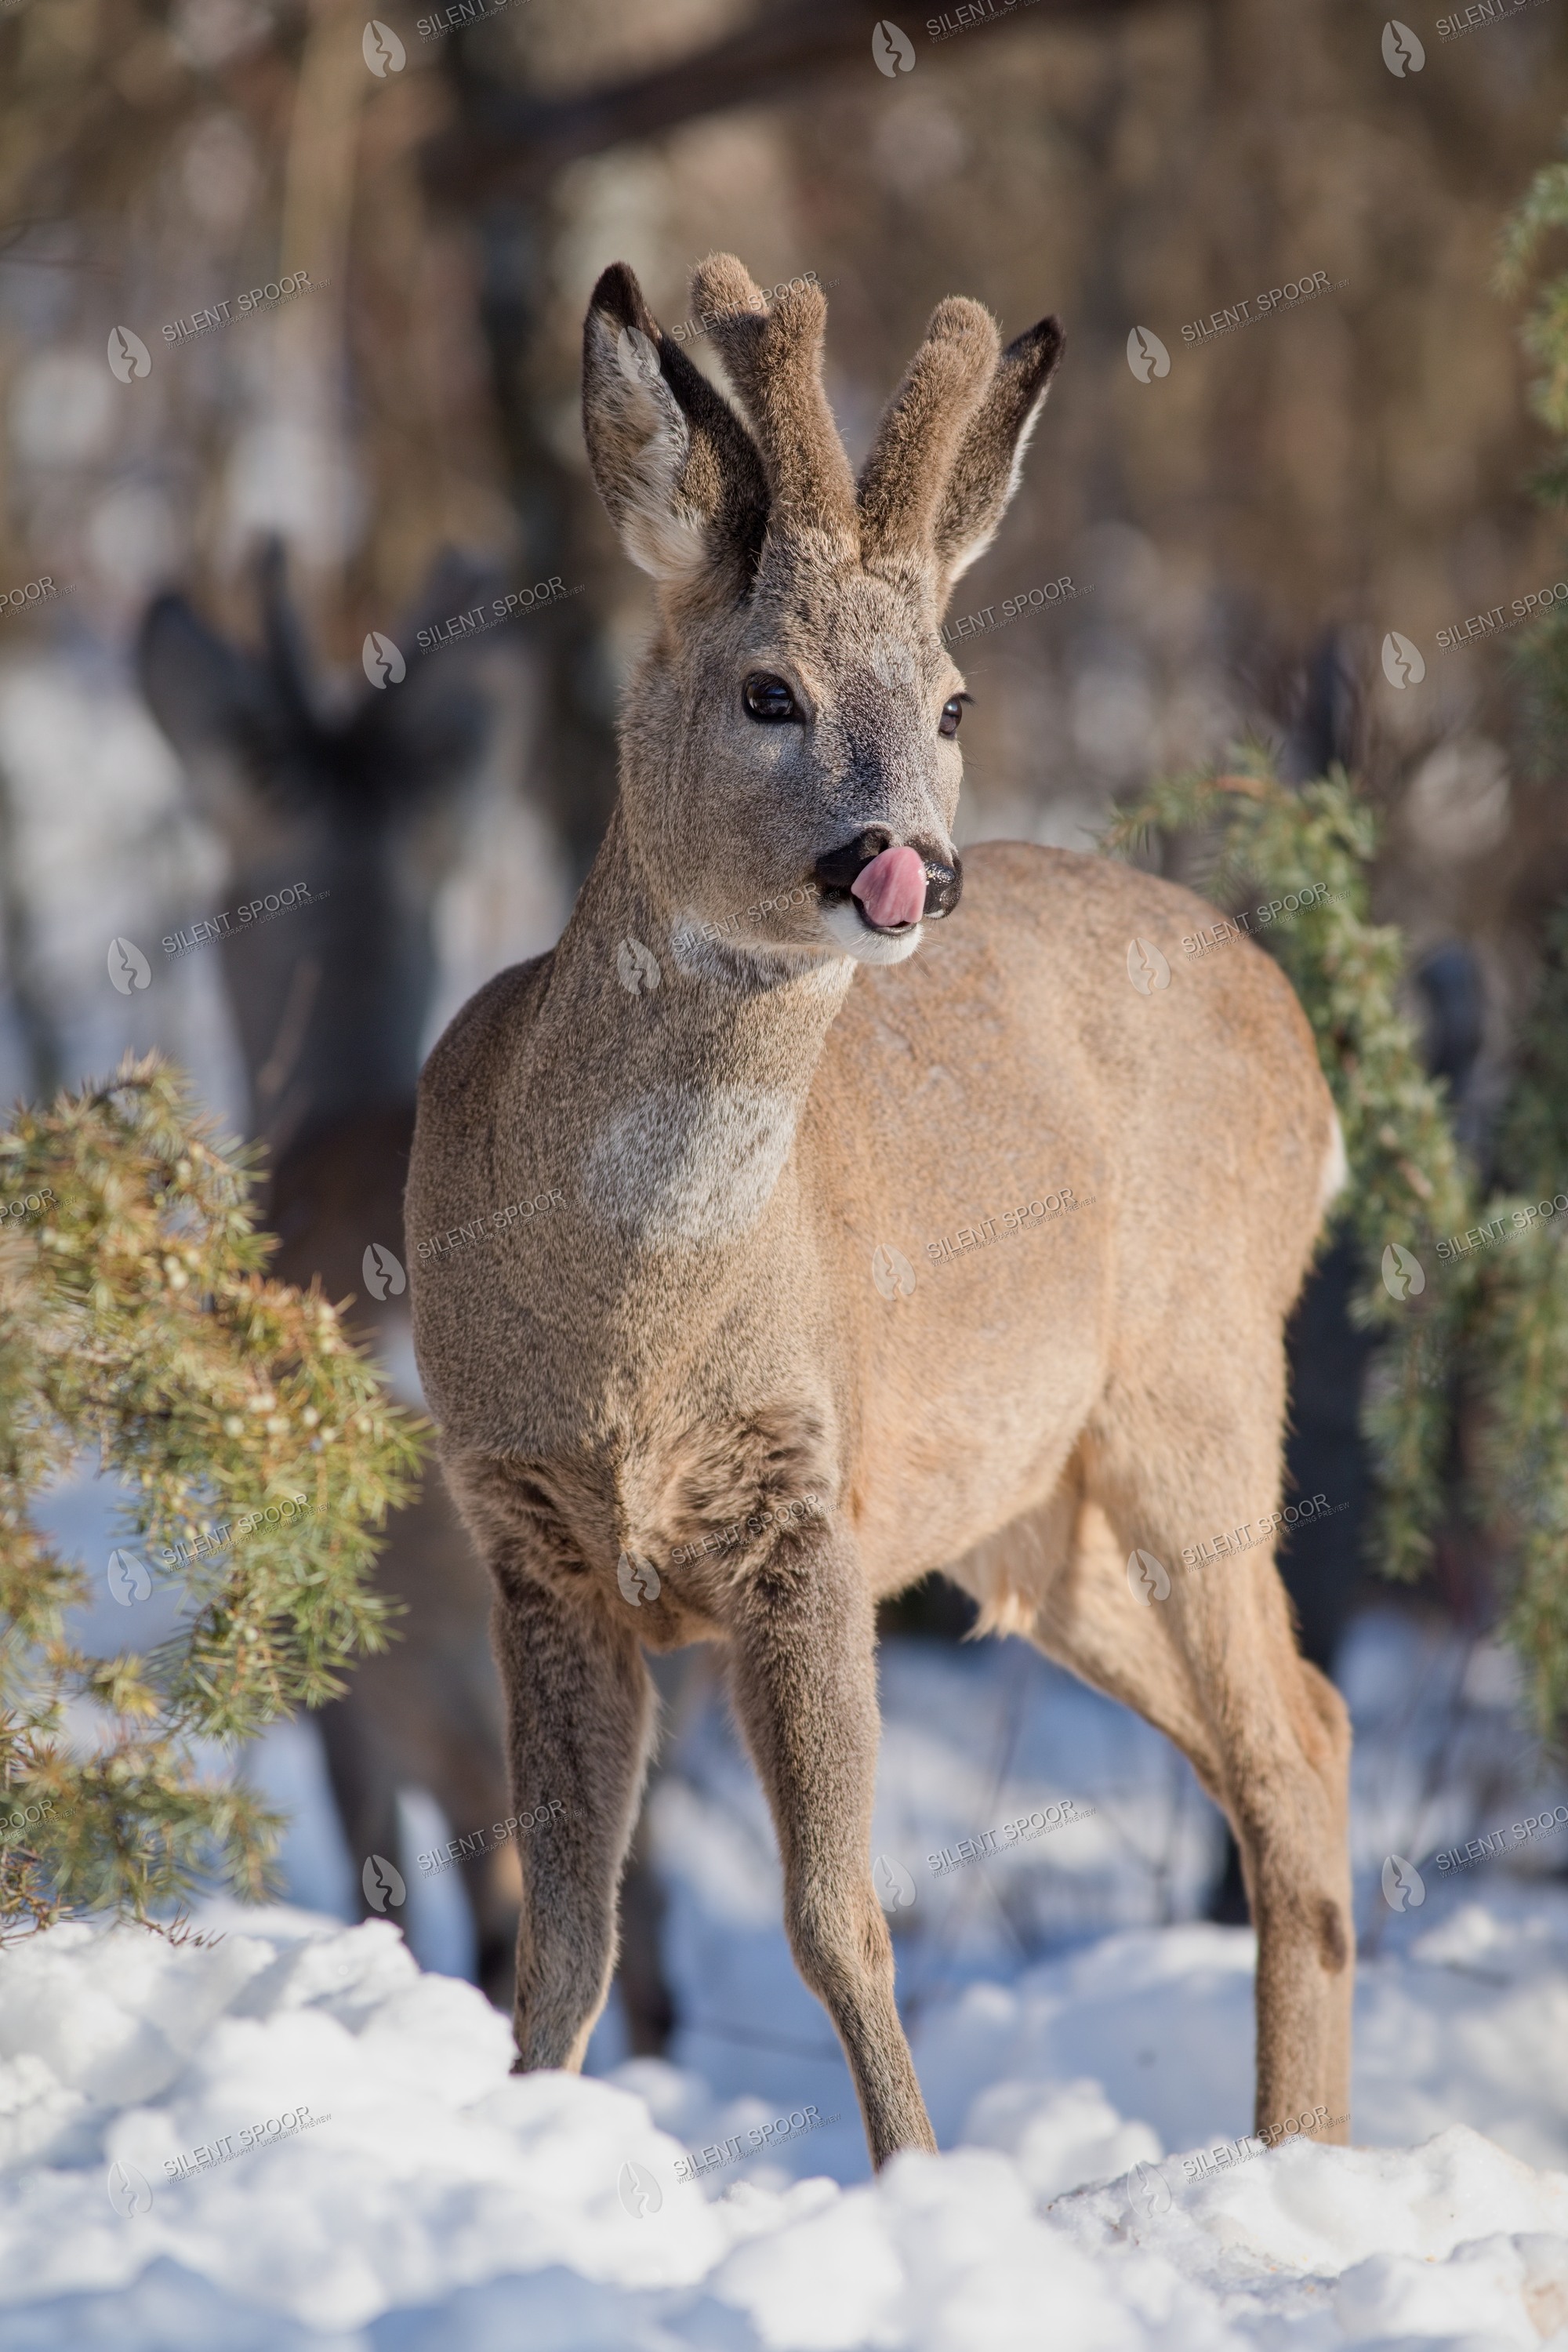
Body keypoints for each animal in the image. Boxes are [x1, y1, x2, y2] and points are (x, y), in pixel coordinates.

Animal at [405, 255, 1355, 2170]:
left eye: (954, 703)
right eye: (768, 692)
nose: (903, 865)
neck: (632, 1333)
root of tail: (1297, 1038)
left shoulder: (808, 1501)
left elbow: (835, 1912)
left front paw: (914, 2177)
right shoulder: (525, 1533)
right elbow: (566, 1932)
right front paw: (526, 2143)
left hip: (1202, 1380)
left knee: (1289, 1762)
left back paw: (1300, 2157)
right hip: (1032, 1515)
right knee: (1311, 1728)